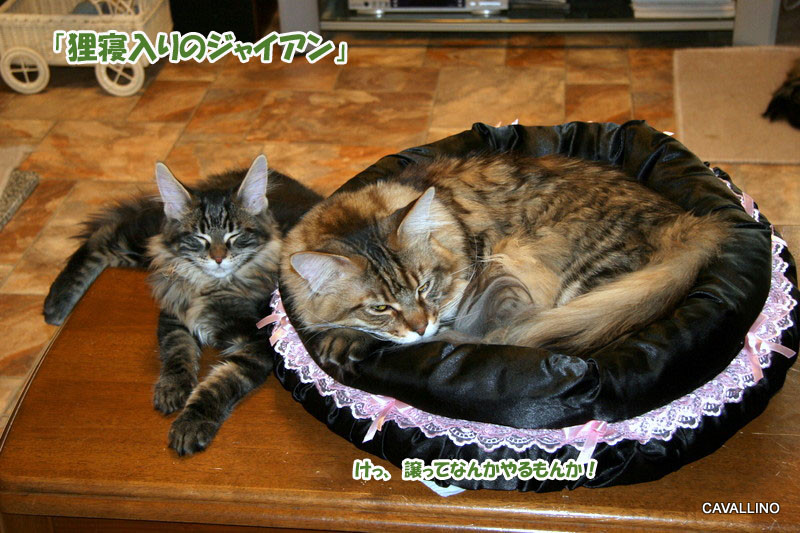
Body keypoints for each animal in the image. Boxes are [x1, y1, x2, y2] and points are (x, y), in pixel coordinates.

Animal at [44, 155, 322, 455]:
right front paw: (171, 389)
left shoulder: (256, 344)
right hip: (146, 244)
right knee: (104, 235)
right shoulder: (174, 316)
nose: (218, 258)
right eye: (200, 238)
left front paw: (190, 424)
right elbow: (177, 353)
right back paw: (56, 304)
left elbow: (218, 384)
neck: (211, 287)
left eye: (234, 236)